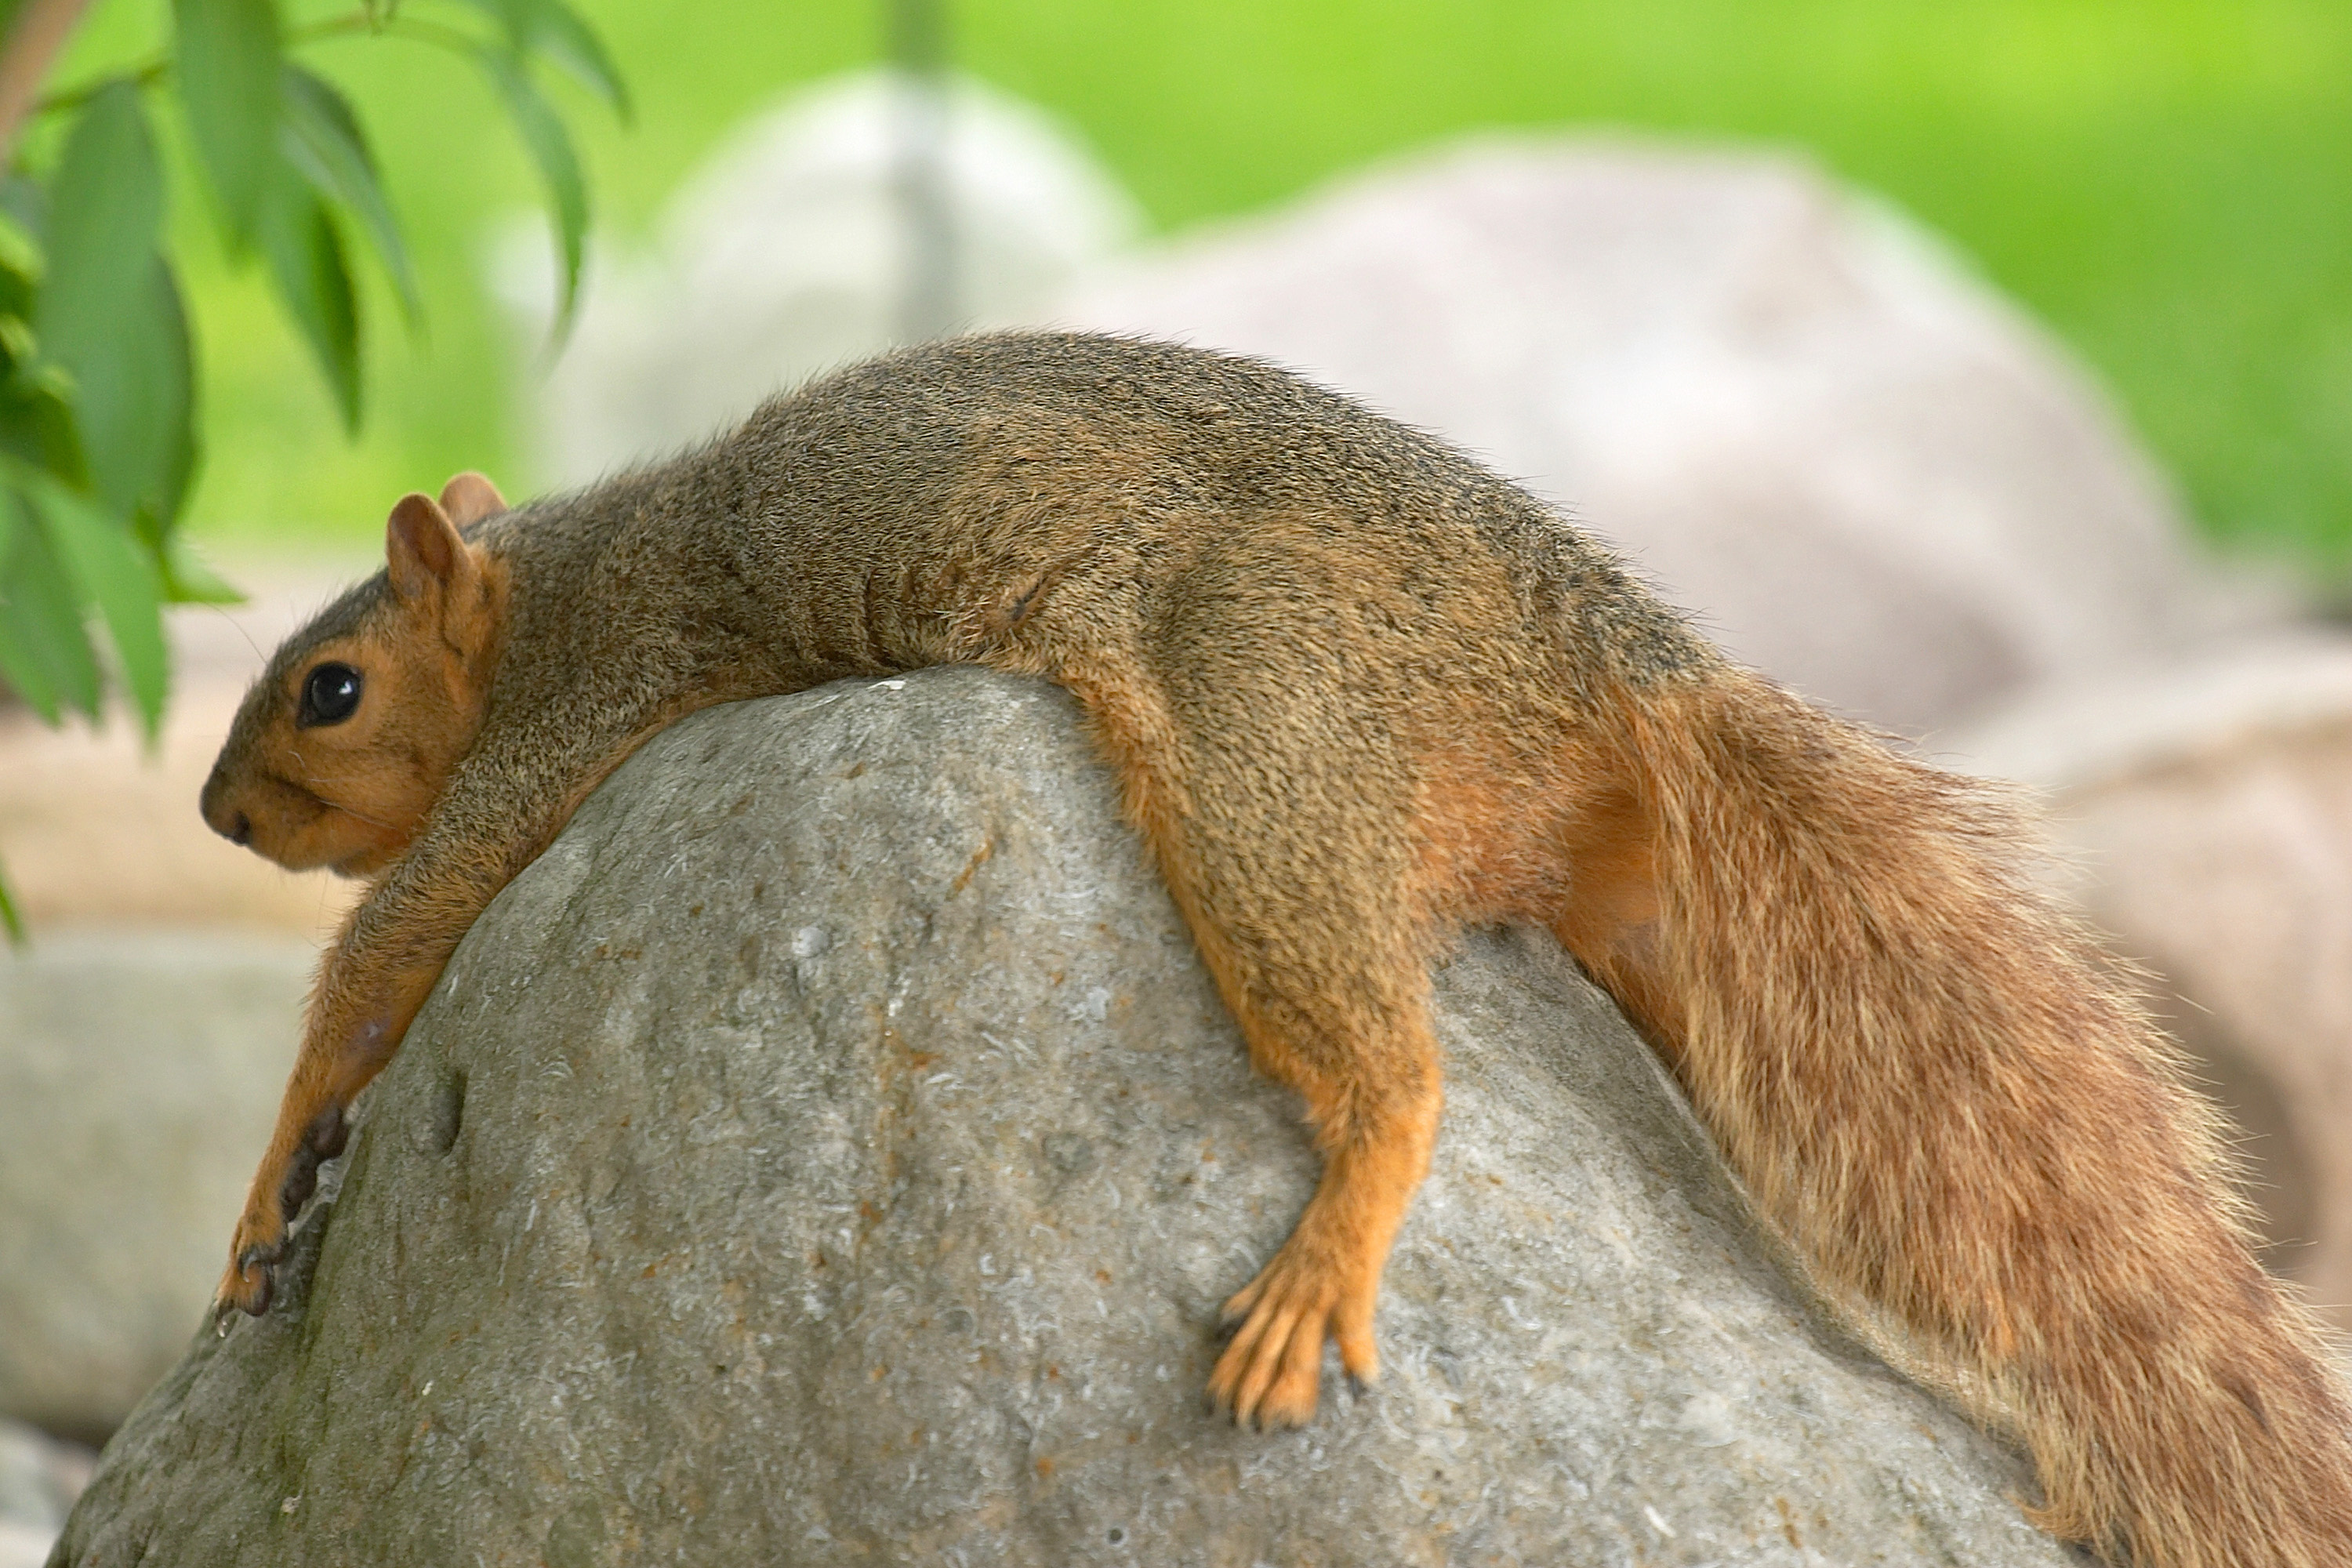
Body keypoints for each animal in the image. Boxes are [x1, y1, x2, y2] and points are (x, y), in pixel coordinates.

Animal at [201, 330, 2352, 1567]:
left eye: (326, 688)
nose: (217, 818)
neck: (544, 589)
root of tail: (1601, 651)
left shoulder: (561, 727)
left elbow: (392, 945)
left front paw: (268, 1170)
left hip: (1266, 727)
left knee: (1389, 1055)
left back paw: (1330, 1243)